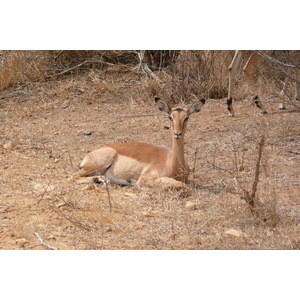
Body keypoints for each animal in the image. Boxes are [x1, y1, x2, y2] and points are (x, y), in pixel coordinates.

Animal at [71, 97, 205, 185]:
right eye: (170, 117)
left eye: (186, 117)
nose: (177, 133)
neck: (173, 165)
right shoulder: (144, 179)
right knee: (73, 177)